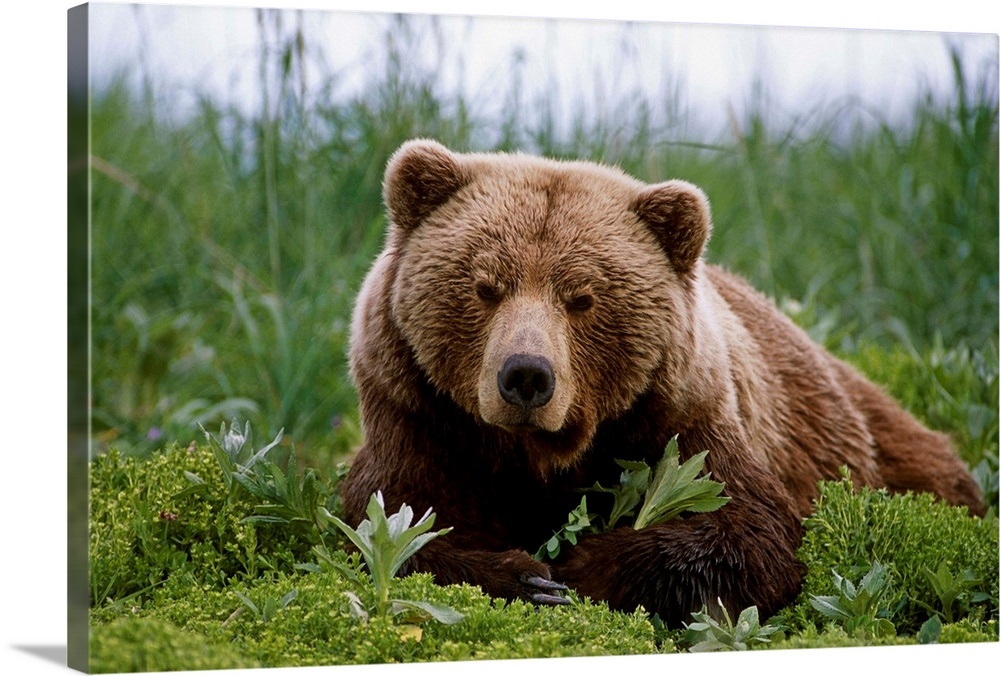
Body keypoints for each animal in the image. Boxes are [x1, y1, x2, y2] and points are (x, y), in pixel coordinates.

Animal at [340, 138, 985, 626]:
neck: (538, 453)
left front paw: (579, 566)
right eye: (486, 286)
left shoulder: (682, 416)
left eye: (582, 298)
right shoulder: (419, 416)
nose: (525, 375)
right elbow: (393, 523)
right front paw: (526, 575)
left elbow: (750, 534)